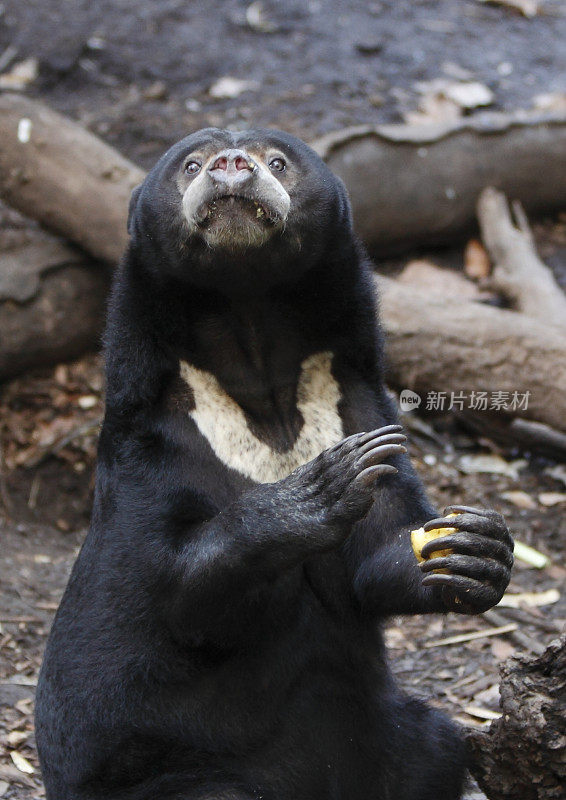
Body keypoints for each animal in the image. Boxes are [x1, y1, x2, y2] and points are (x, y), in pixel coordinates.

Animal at [34, 128, 516, 796]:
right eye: (190, 166)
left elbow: (381, 540)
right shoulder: (153, 440)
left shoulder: (352, 400)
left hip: (385, 739)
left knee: (438, 749)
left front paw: (476, 551)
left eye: (277, 161)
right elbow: (174, 587)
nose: (231, 165)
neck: (251, 329)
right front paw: (314, 493)